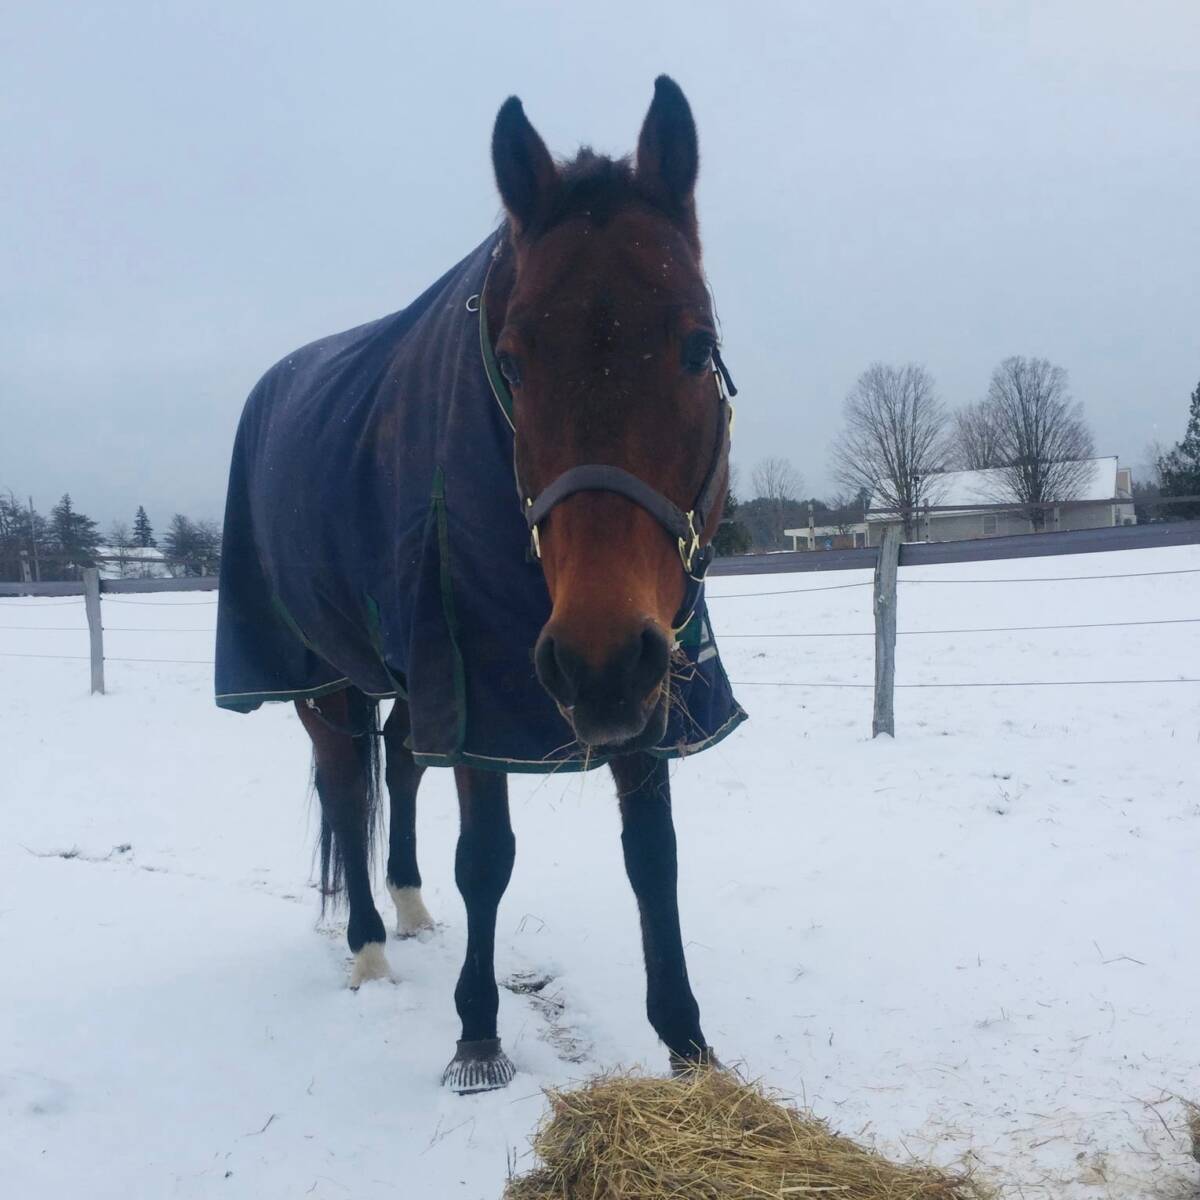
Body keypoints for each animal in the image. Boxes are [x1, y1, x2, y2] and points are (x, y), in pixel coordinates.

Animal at [215, 76, 744, 1092]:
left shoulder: (647, 689)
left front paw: (690, 1046)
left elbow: (652, 858)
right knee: (346, 787)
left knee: (395, 762)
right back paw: (369, 948)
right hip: (326, 678)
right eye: (513, 361)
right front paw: (477, 1035)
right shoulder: (478, 689)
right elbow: (488, 857)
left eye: (698, 346)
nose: (595, 664)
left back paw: (411, 910)